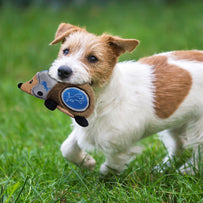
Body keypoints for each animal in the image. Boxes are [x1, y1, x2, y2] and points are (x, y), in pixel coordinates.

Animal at [48, 23, 203, 175]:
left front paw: (104, 176)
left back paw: (188, 170)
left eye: (93, 58)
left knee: (198, 151)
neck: (100, 99)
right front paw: (87, 162)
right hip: (176, 121)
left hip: (199, 126)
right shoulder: (85, 129)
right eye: (66, 51)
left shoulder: (119, 145)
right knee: (179, 145)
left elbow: (111, 166)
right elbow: (67, 148)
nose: (63, 70)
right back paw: (163, 168)